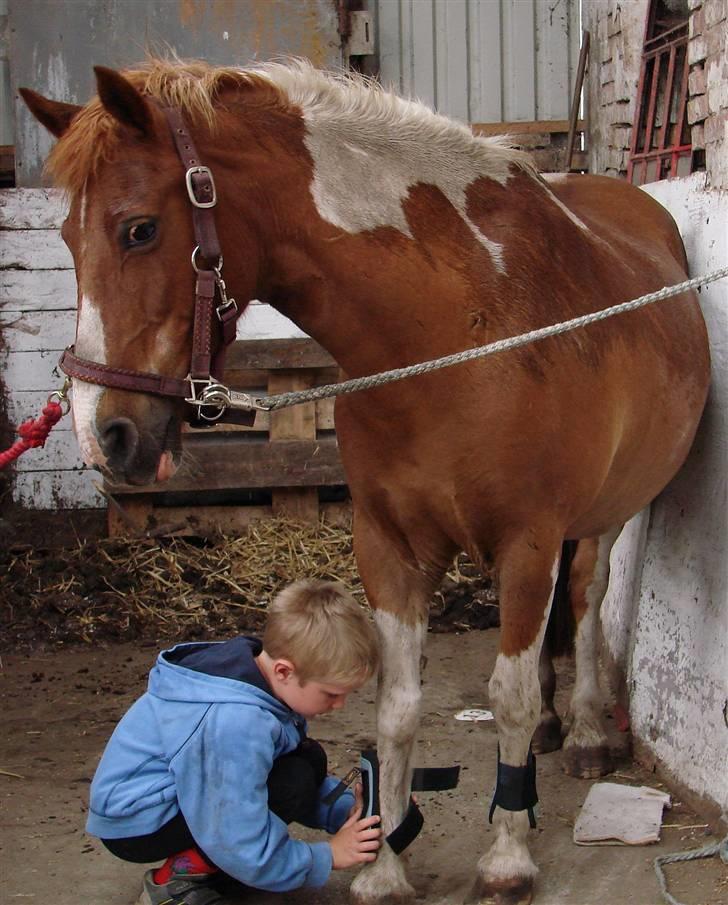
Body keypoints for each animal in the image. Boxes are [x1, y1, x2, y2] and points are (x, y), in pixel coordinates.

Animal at [19, 60, 708, 900]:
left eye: (140, 228)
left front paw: (507, 856)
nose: (103, 435)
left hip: (606, 513)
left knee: (586, 594)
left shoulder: (528, 542)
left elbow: (505, 696)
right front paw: (384, 860)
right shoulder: (388, 546)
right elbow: (398, 707)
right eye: (65, 237)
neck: (462, 328)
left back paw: (579, 728)